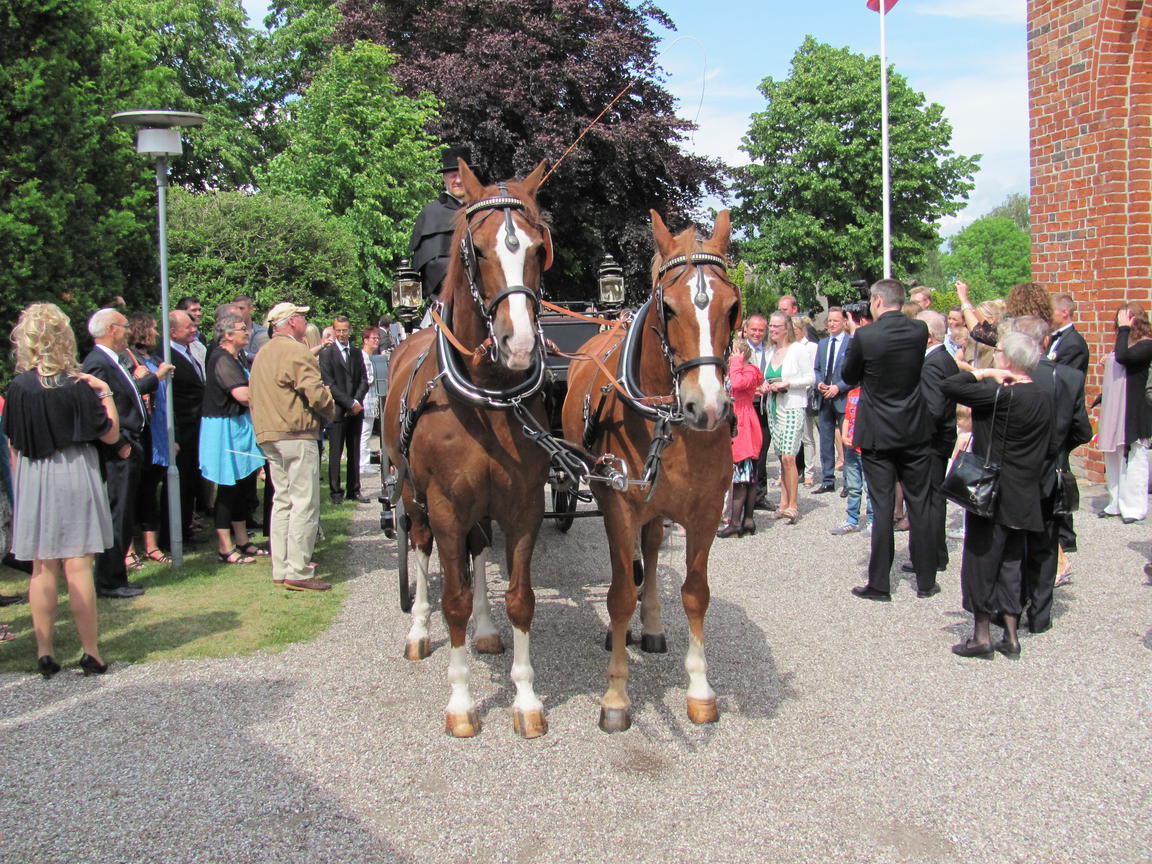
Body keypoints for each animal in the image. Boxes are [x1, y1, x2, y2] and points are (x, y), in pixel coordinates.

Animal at [380, 161, 555, 737]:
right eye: (477, 249)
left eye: (538, 248)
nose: (518, 344)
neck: (487, 398)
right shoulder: (445, 506)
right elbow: (451, 598)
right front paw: (460, 703)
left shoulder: (522, 505)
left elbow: (520, 599)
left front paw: (526, 699)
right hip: (412, 496)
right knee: (418, 545)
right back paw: (418, 630)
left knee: (478, 551)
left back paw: (484, 627)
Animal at [559, 209, 737, 732]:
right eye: (669, 308)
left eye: (732, 308)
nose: (707, 407)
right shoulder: (618, 502)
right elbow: (618, 594)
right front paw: (616, 695)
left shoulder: (705, 511)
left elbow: (695, 593)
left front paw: (700, 689)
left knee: (653, 551)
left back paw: (652, 623)